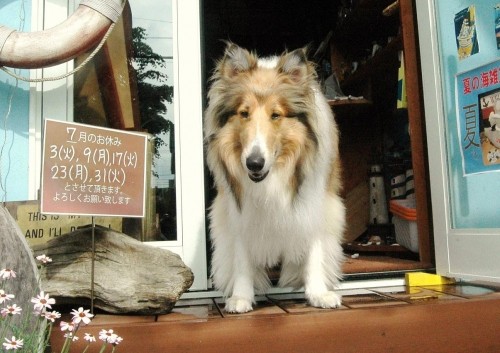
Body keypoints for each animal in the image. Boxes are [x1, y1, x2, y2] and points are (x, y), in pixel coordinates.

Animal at [203, 42, 344, 312]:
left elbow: (314, 248)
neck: (273, 177)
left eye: (276, 115)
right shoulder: (239, 213)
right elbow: (242, 256)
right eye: (244, 113)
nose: (254, 163)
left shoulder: (313, 202)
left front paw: (318, 294)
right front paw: (241, 296)